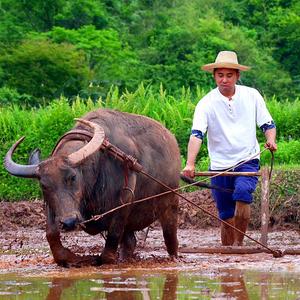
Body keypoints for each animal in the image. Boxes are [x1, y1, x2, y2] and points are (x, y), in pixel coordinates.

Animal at [4, 109, 180, 268]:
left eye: (72, 177)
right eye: (44, 185)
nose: (69, 222)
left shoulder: (124, 202)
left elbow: (109, 248)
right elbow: (51, 235)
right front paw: (73, 259)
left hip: (171, 203)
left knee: (170, 237)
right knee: (130, 242)